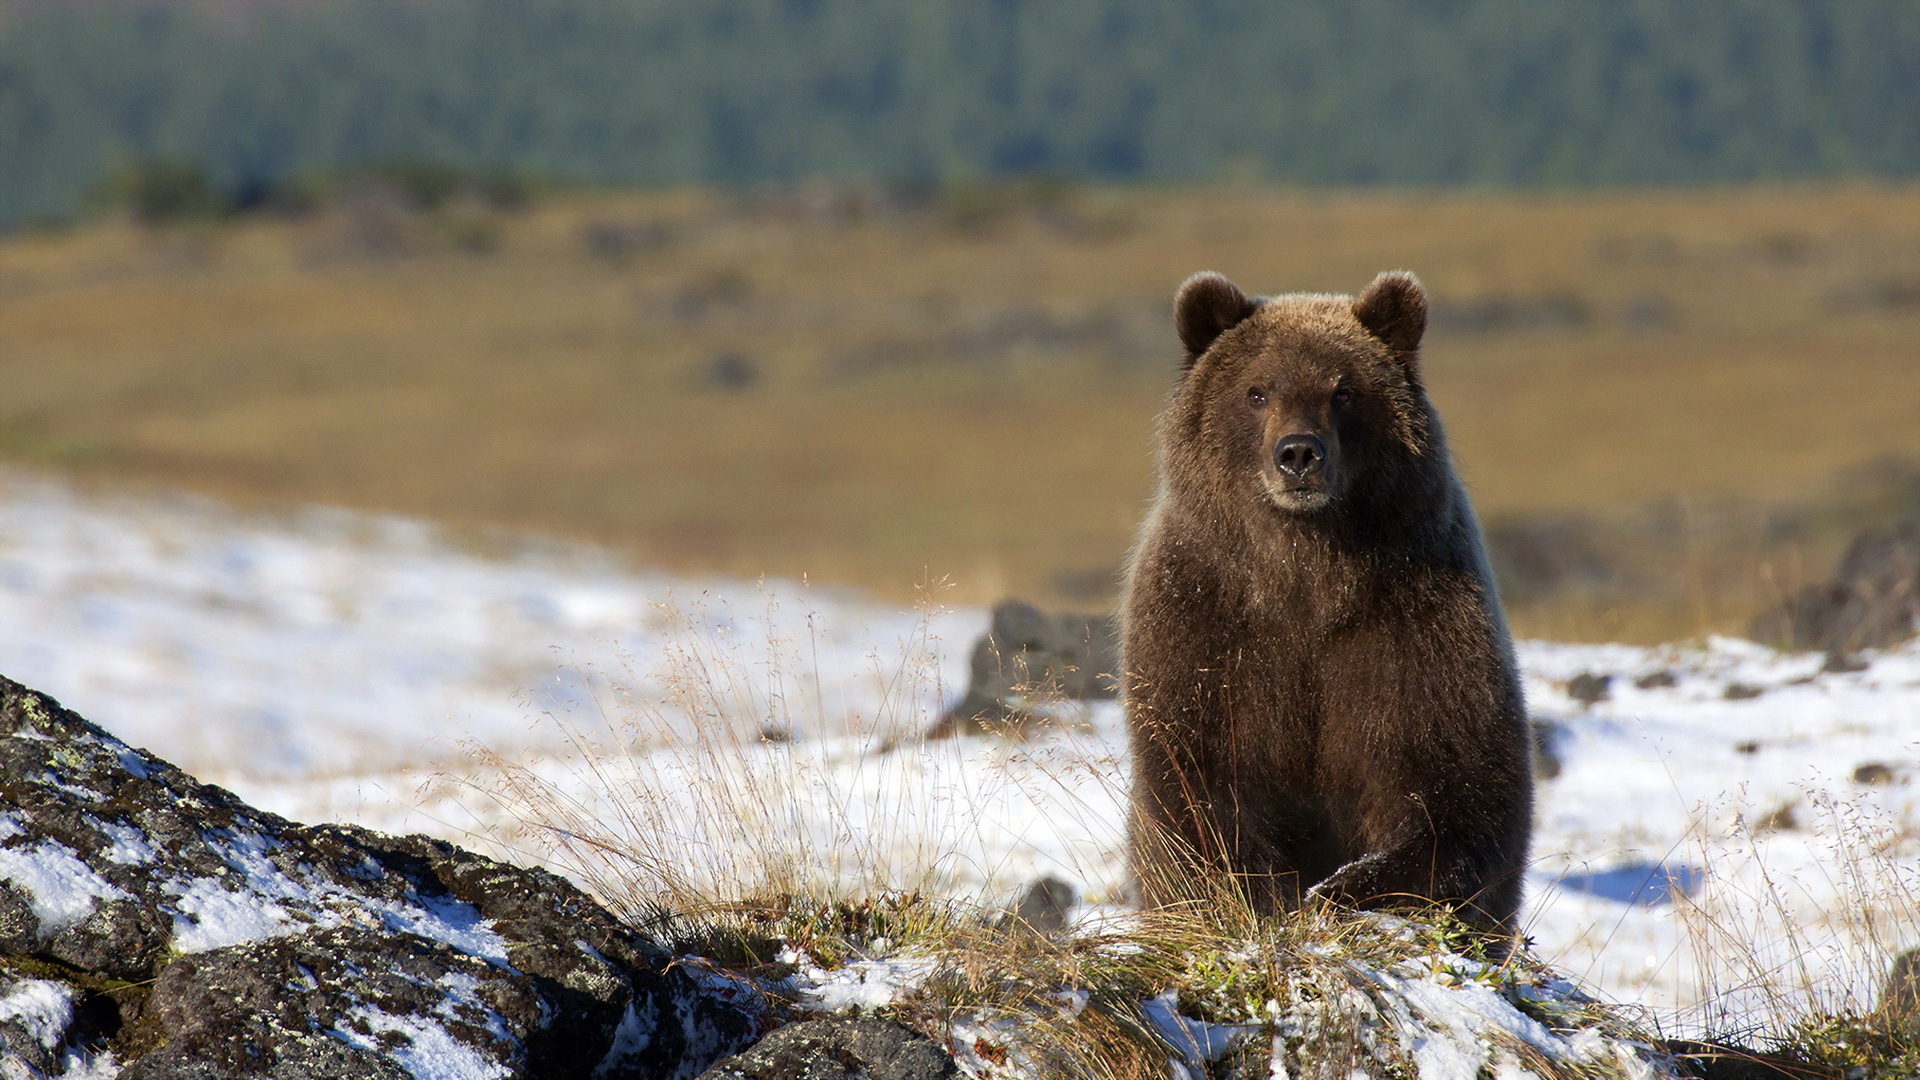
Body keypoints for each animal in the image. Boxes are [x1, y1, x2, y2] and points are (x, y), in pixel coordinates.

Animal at [1121, 267, 1536, 926]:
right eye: (1257, 391)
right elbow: (1199, 788)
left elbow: (1459, 788)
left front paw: (1344, 888)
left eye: (1343, 392)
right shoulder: (1205, 623)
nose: (1298, 454)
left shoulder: (1414, 625)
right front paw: (1259, 895)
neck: (1308, 574)